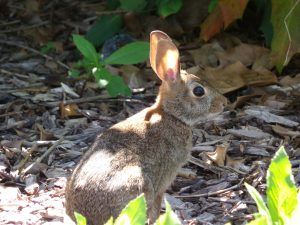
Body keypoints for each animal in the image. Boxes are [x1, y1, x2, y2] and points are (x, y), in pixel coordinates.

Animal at [64, 30, 226, 225]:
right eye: (199, 91)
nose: (224, 103)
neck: (171, 115)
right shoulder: (163, 180)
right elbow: (157, 205)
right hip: (138, 186)